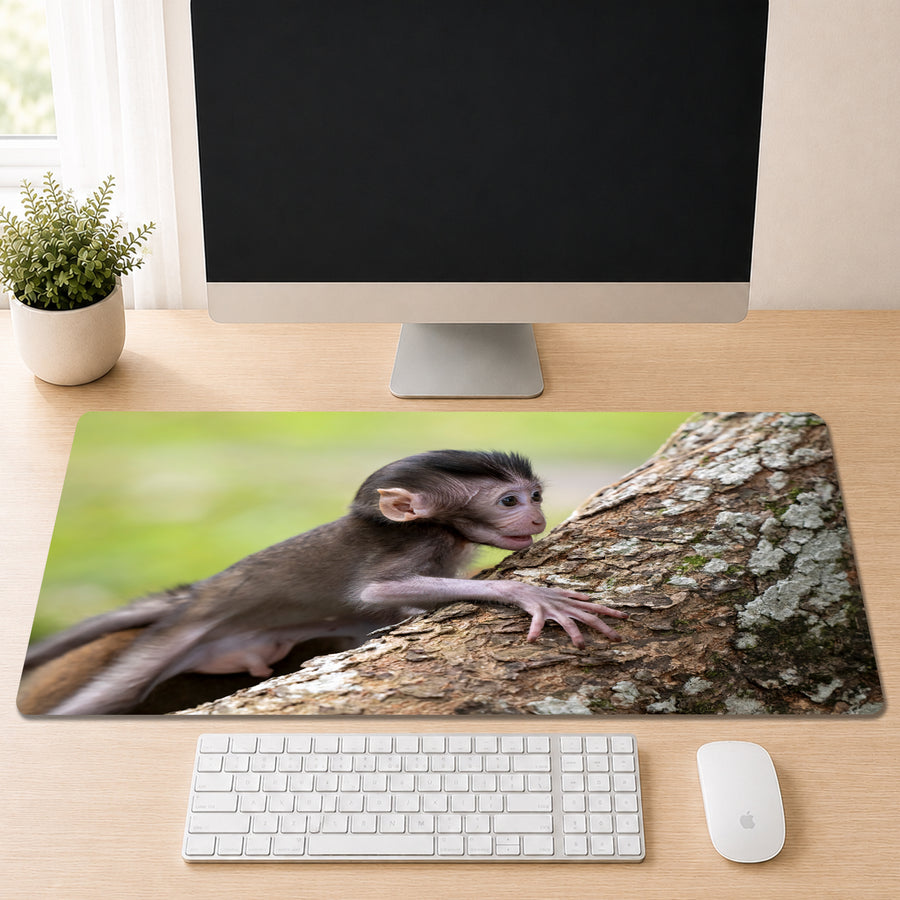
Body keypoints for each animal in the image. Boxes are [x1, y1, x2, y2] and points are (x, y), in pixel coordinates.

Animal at [21, 450, 627, 715]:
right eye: (508, 501)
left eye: (536, 495)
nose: (536, 517)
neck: (438, 529)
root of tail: (200, 592)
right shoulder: (419, 543)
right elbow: (375, 594)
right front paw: (527, 594)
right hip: (177, 632)